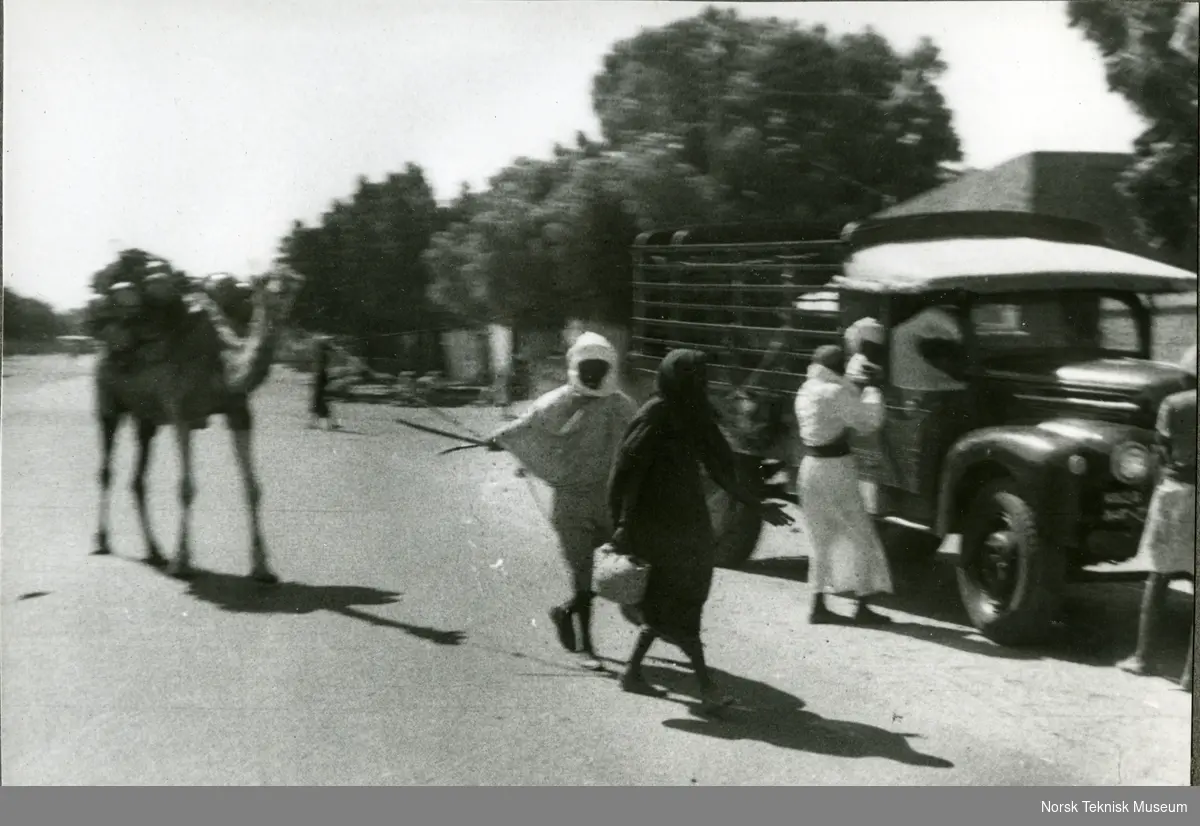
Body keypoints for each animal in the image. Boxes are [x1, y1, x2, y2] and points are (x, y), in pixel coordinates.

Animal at [92, 267, 304, 583]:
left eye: (294, 283)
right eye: (268, 282)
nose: (281, 296)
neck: (223, 365)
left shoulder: (240, 413)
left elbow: (253, 487)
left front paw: (263, 569)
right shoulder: (181, 413)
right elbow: (186, 488)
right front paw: (181, 563)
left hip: (146, 419)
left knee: (138, 478)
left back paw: (155, 551)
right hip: (108, 404)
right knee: (106, 470)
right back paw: (102, 541)